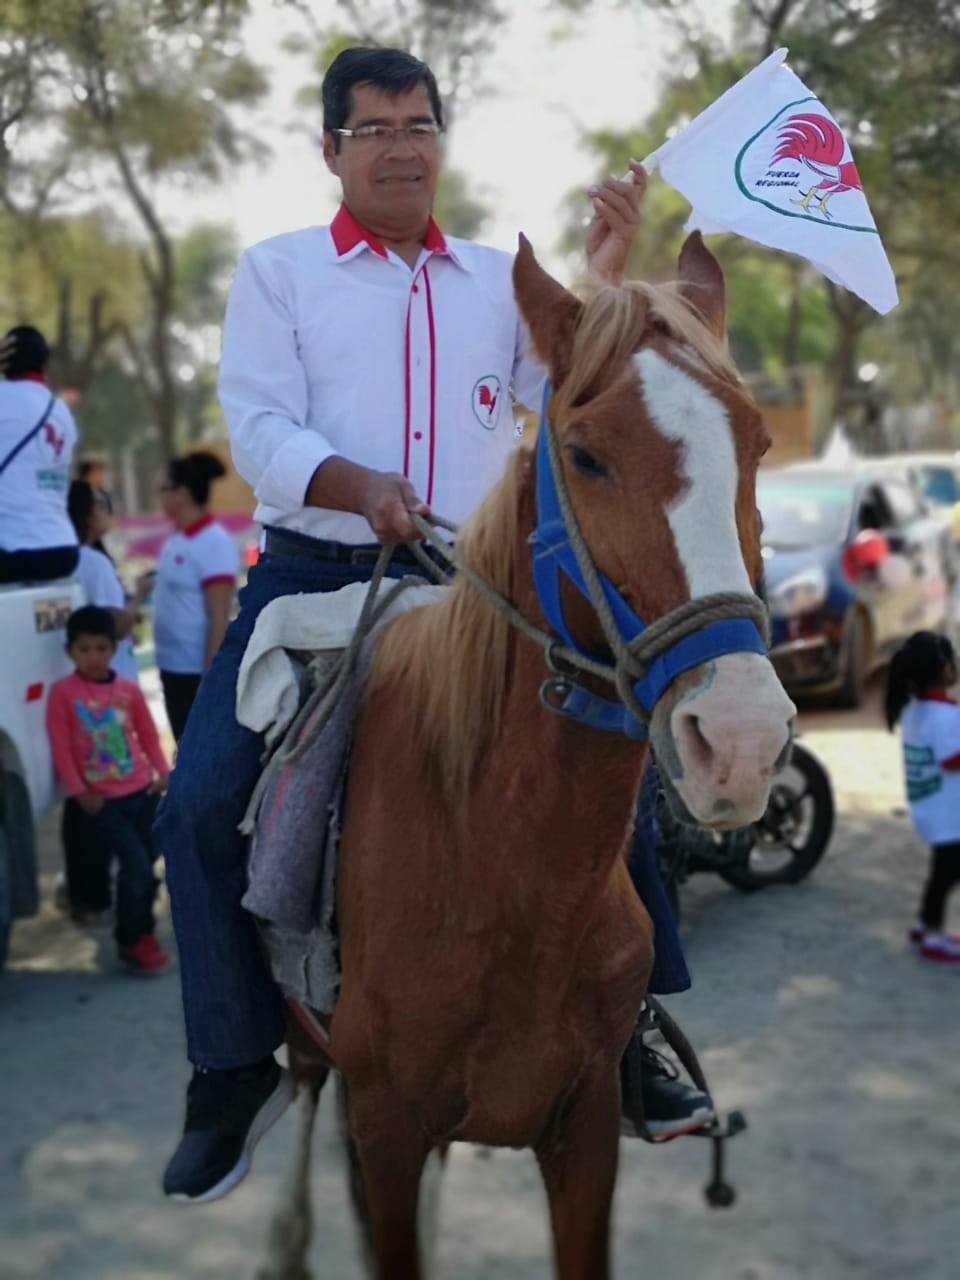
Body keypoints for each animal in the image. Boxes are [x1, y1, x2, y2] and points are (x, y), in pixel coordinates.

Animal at [261, 232, 798, 1280]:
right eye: (585, 457)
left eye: (757, 444)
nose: (743, 740)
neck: (497, 862)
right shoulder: (384, 1129)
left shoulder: (584, 1128)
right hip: (311, 1058)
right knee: (299, 1109)